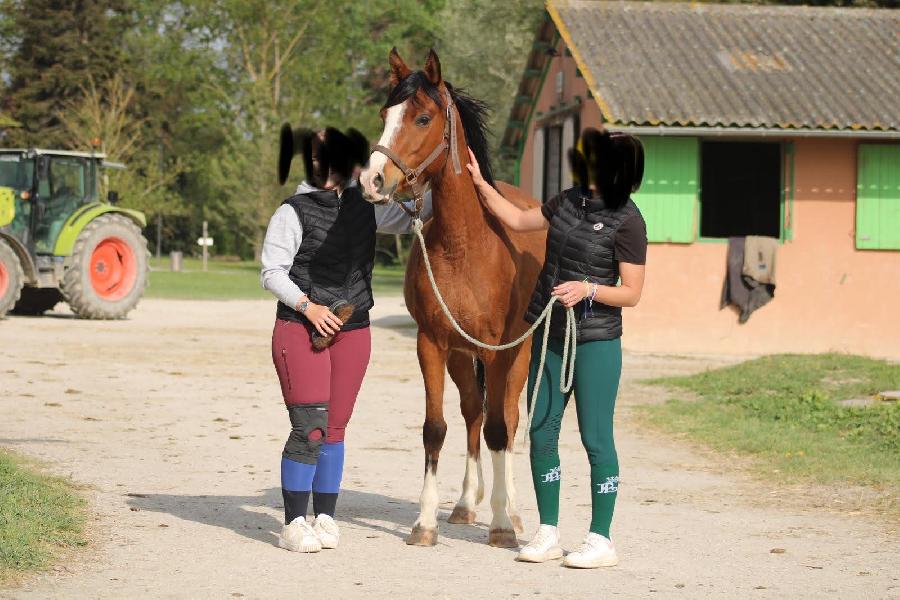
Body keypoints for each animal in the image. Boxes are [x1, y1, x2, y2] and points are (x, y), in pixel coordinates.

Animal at [359, 48, 546, 547]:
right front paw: (424, 523)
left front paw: (501, 526)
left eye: (423, 117)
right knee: (472, 414)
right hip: (463, 357)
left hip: (517, 354)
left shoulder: (497, 351)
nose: (373, 180)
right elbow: (435, 428)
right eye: (385, 114)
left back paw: (512, 511)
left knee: (505, 419)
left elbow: (500, 430)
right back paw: (464, 504)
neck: (465, 246)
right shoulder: (432, 343)